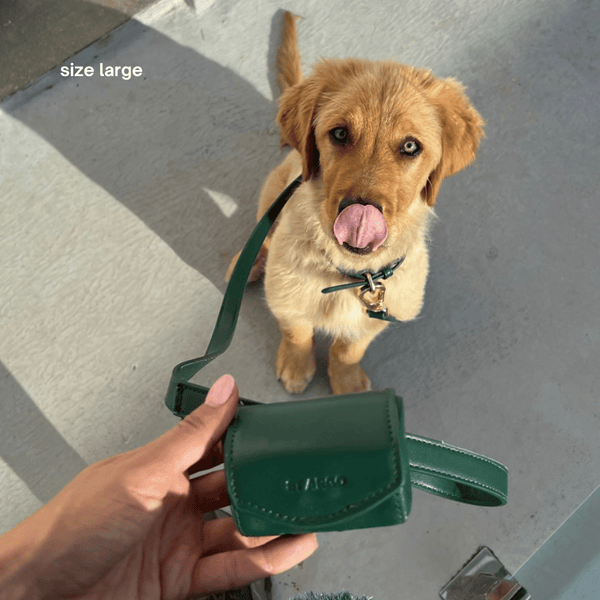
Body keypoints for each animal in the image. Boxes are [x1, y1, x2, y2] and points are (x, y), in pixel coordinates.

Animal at [227, 11, 486, 396]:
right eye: (339, 133)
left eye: (411, 146)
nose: (360, 217)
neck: (350, 274)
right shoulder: (287, 298)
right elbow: (296, 330)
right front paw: (296, 365)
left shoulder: (380, 314)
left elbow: (350, 348)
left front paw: (346, 382)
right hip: (273, 189)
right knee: (265, 236)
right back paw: (248, 263)